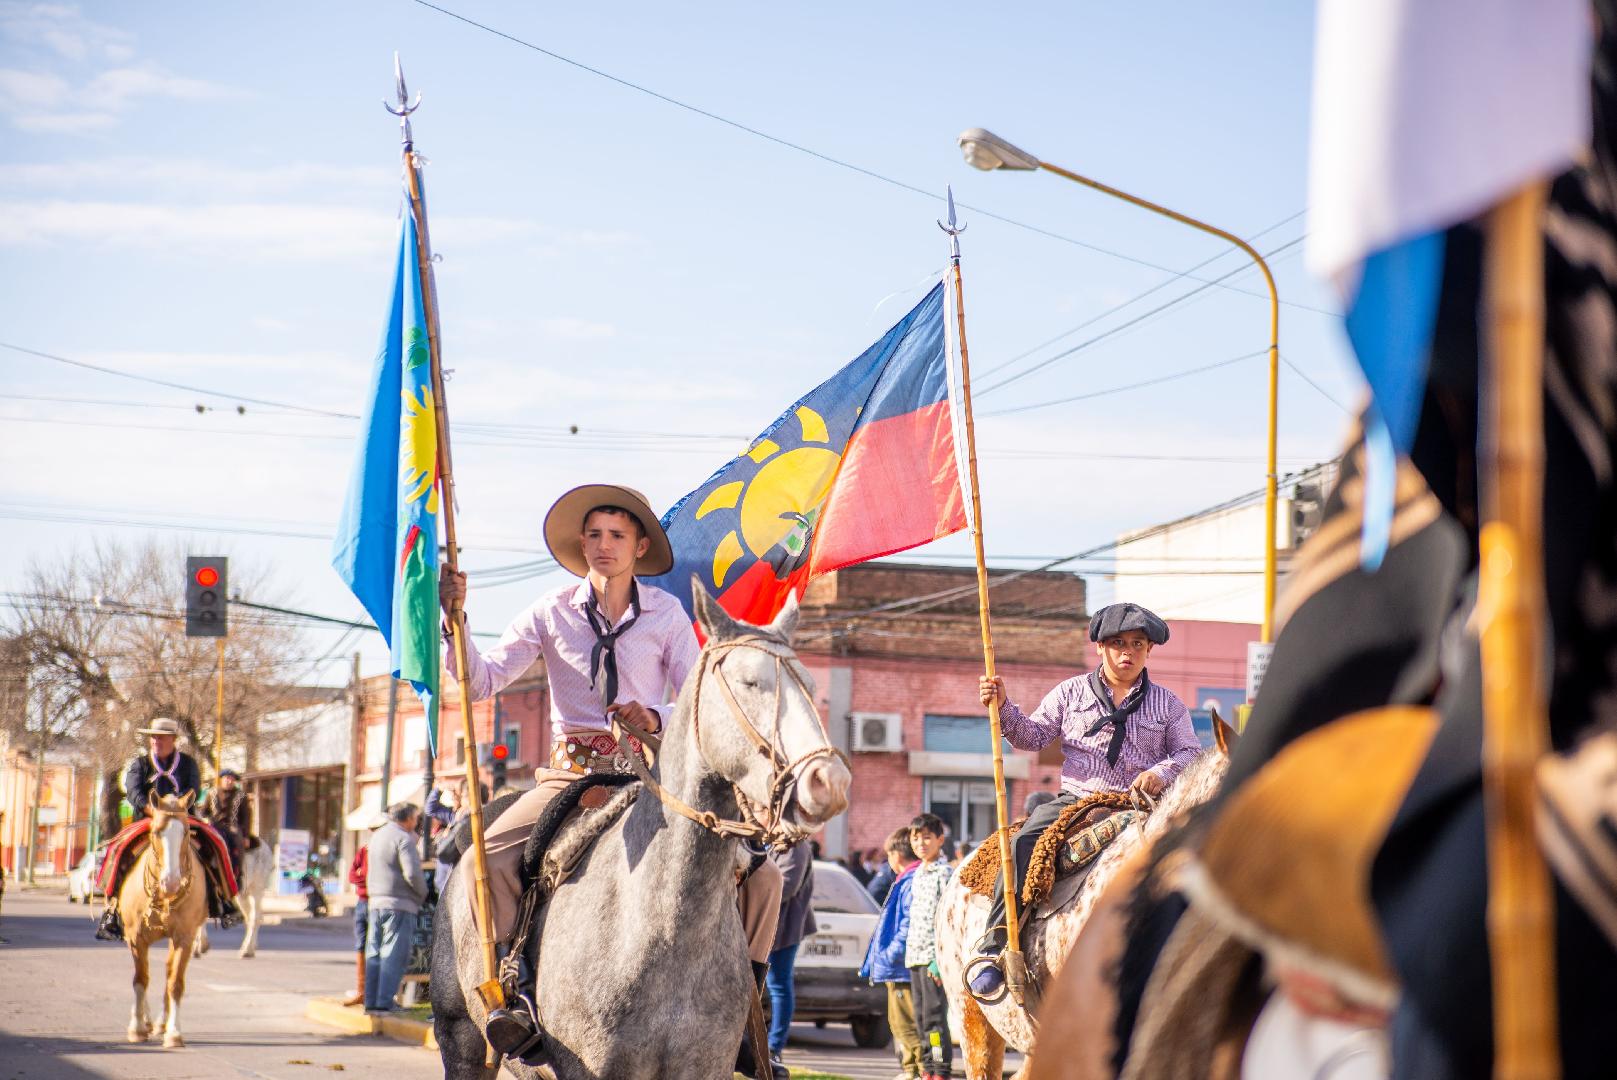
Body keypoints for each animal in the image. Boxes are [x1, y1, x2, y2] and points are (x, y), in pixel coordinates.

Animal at [118, 792, 208, 1047]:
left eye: (186, 831)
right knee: (143, 975)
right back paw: (146, 1020)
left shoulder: (185, 938)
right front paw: (137, 1028)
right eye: (157, 831)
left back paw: (160, 1023)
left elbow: (175, 982)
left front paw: (174, 1033)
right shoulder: (135, 937)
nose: (172, 882)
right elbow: (140, 979)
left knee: (168, 973)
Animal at [430, 585, 860, 1073]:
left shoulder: (706, 1066)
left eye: (810, 685)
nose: (828, 782)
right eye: (750, 682)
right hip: (460, 1039)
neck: (664, 929)